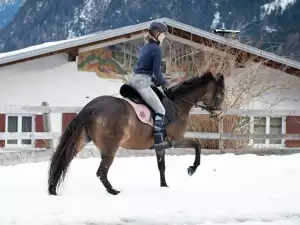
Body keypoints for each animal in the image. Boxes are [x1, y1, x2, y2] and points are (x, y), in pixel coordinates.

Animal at [47, 71, 225, 196]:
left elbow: (161, 166)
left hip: (81, 141)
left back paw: (53, 188)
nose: (219, 115)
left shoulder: (161, 146)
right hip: (110, 148)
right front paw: (192, 169)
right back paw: (113, 192)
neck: (178, 104)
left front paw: (164, 186)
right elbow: (197, 144)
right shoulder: (176, 140)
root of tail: (91, 107)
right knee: (101, 172)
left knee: (64, 160)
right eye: (220, 95)